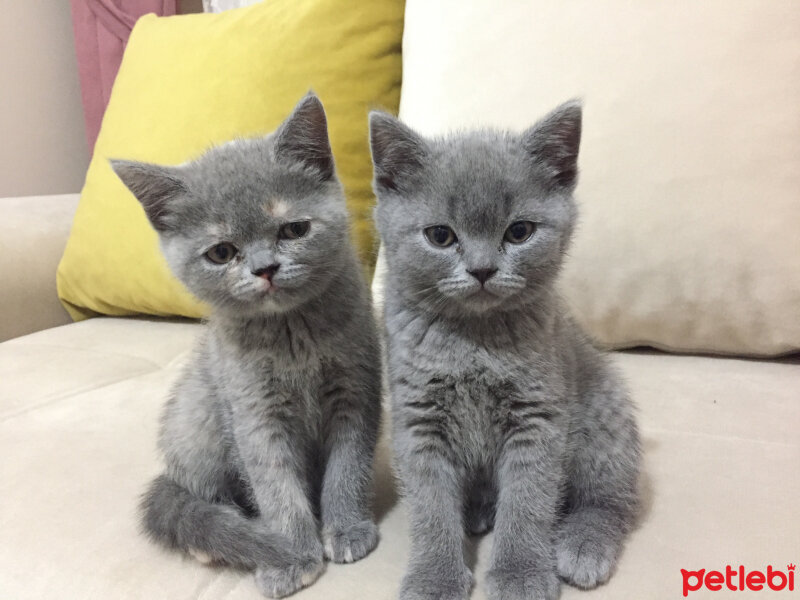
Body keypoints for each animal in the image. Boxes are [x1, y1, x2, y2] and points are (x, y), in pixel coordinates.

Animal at [113, 91, 384, 596]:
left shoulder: (355, 391)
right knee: (197, 494)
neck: (293, 337)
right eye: (222, 252)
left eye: (294, 230)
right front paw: (292, 555)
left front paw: (347, 529)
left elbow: (348, 465)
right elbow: (274, 484)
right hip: (197, 419)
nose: (265, 269)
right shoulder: (253, 412)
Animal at [370, 103, 644, 600]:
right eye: (440, 236)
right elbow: (430, 507)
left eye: (519, 232)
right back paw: (478, 511)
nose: (482, 270)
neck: (474, 339)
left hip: (603, 417)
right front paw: (435, 577)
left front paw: (520, 574)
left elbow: (528, 500)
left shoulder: (538, 417)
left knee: (612, 499)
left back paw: (583, 544)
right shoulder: (419, 419)